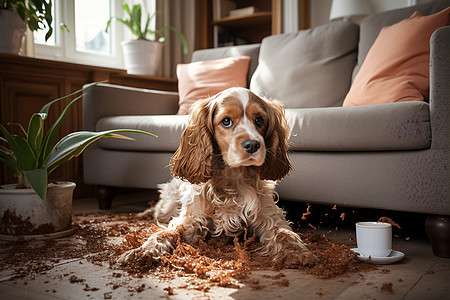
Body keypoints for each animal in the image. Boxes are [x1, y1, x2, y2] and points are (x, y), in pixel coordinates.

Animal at [118, 86, 318, 268]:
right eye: (226, 121)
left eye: (259, 120)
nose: (253, 145)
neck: (232, 178)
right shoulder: (190, 221)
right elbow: (163, 234)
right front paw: (140, 252)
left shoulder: (269, 216)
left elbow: (285, 234)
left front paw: (298, 253)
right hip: (167, 206)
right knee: (158, 210)